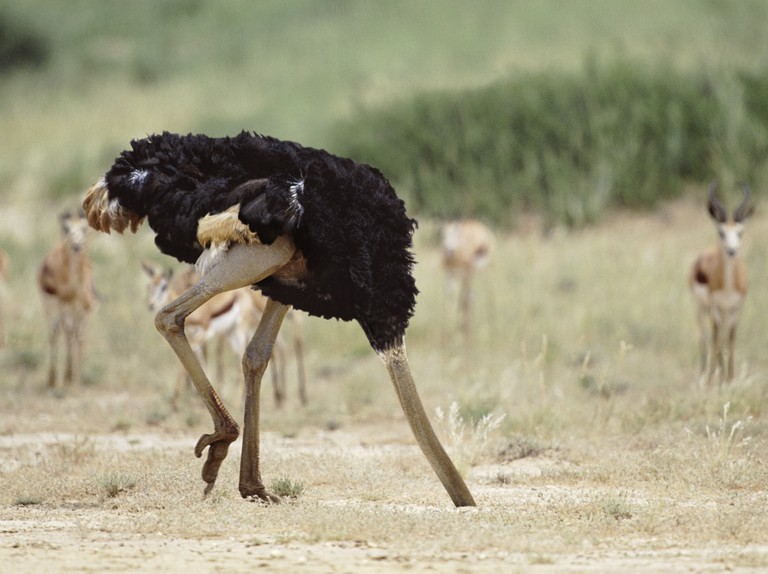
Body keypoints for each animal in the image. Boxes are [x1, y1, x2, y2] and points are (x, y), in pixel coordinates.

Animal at [38, 209, 96, 390]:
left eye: (84, 228)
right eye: (66, 228)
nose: (76, 246)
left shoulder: (85, 311)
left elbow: (80, 338)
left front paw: (77, 380)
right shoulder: (63, 308)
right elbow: (68, 335)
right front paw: (69, 380)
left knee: (69, 335)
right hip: (52, 309)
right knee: (56, 334)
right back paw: (54, 380)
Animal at [142, 264, 304, 408]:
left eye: (164, 287)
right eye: (149, 286)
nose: (150, 304)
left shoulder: (206, 331)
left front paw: (176, 401)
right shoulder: (192, 333)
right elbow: (198, 359)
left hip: (242, 330)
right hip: (233, 333)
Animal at [692, 182, 752, 384]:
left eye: (740, 232)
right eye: (721, 232)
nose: (732, 251)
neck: (727, 285)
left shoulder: (737, 307)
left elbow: (731, 339)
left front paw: (730, 378)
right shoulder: (715, 307)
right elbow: (715, 339)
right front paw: (712, 379)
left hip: (724, 312)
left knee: (722, 339)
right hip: (701, 308)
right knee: (706, 338)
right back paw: (705, 373)